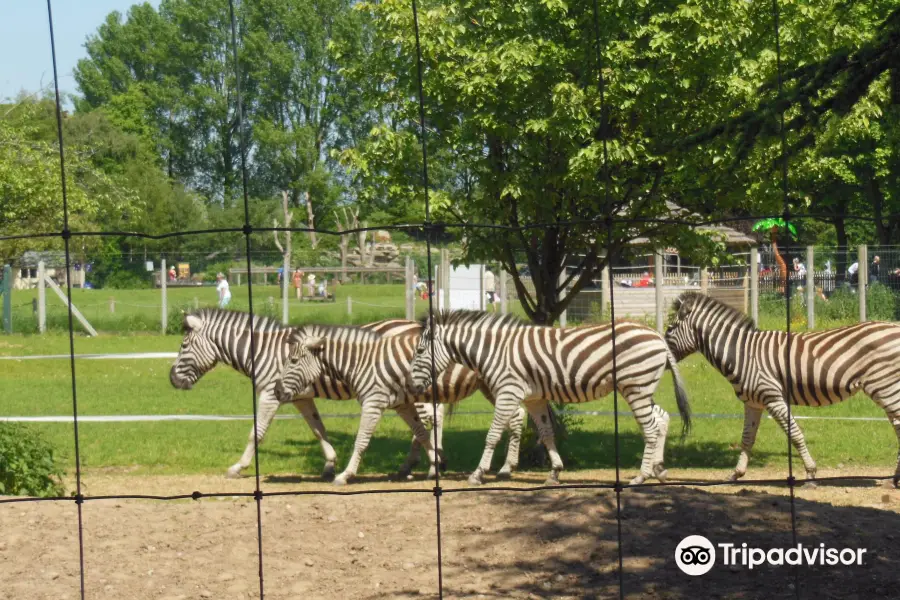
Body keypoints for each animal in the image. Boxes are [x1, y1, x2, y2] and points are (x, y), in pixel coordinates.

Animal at [167, 312, 448, 480]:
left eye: (183, 345)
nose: (172, 380)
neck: (261, 351)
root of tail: (415, 324)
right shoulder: (301, 398)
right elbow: (318, 429)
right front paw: (330, 465)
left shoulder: (270, 394)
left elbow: (255, 433)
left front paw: (238, 467)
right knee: (426, 421)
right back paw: (412, 465)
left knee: (433, 417)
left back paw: (431, 463)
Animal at [274, 326, 528, 486]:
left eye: (293, 361)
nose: (276, 391)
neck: (363, 363)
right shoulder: (401, 405)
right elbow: (422, 434)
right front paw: (436, 464)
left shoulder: (373, 403)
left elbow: (361, 440)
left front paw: (345, 475)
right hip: (490, 387)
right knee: (517, 414)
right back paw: (508, 467)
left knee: (515, 415)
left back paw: (506, 468)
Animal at [408, 310, 696, 488]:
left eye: (420, 351)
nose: (412, 386)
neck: (494, 351)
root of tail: (656, 334)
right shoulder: (534, 398)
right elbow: (546, 434)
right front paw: (555, 472)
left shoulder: (508, 392)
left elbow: (492, 434)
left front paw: (478, 474)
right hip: (640, 388)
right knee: (661, 419)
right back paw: (658, 470)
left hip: (635, 386)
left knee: (650, 428)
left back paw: (642, 476)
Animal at [664, 292, 900, 488]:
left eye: (670, 328)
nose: (665, 360)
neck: (742, 354)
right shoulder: (753, 402)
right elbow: (747, 438)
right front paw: (735, 475)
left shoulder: (773, 398)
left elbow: (795, 435)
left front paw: (810, 474)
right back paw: (894, 479)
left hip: (885, 387)